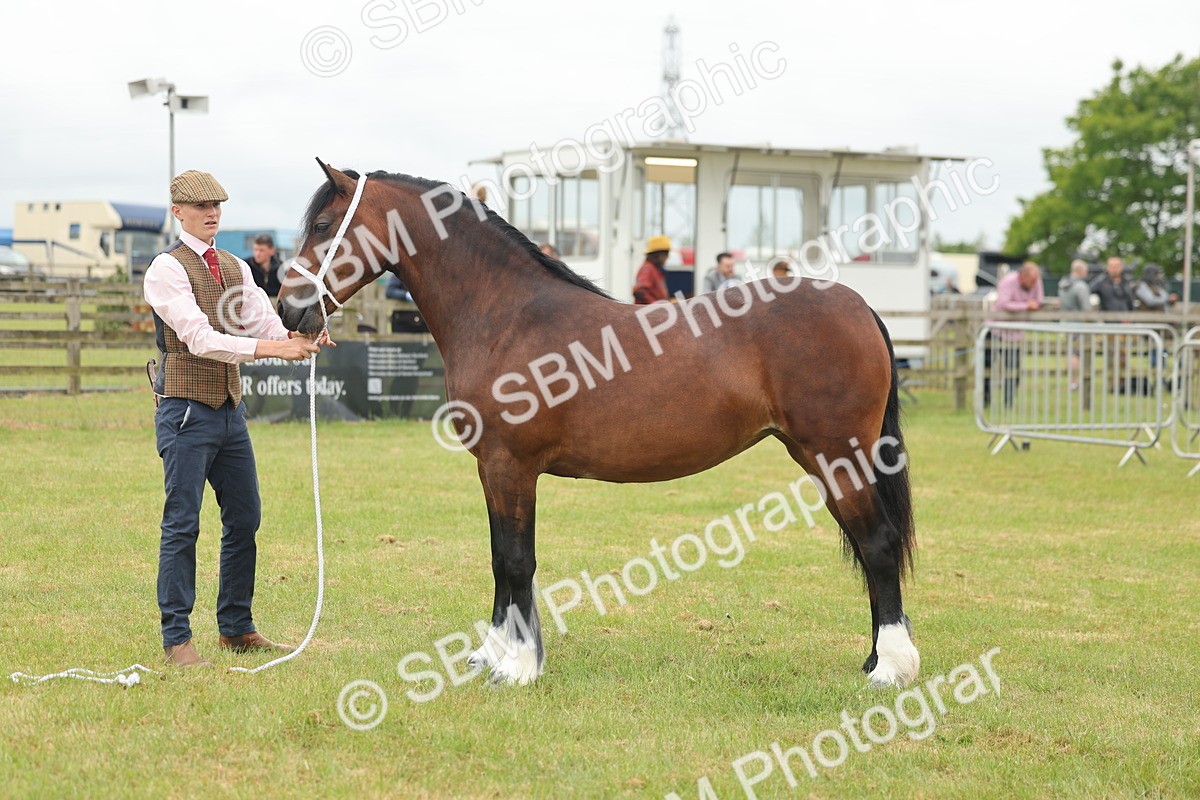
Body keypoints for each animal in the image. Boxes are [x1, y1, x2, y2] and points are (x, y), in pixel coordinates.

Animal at [276, 161, 919, 688]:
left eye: (324, 224)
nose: (286, 307)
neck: (506, 316)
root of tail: (859, 307)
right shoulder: (492, 470)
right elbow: (498, 558)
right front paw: (491, 656)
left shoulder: (511, 467)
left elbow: (517, 561)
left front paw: (518, 668)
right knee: (869, 548)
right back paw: (874, 658)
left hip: (838, 456)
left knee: (878, 545)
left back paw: (890, 669)